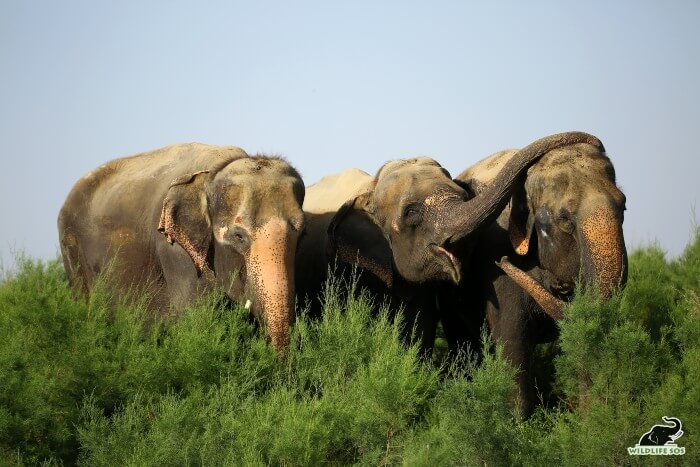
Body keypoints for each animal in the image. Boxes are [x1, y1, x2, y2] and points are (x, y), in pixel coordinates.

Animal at [57, 144, 304, 352]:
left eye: (301, 233)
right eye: (239, 236)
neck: (213, 174)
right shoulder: (174, 249)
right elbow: (200, 318)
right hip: (71, 251)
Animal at [440, 137, 628, 414]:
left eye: (624, 207)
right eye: (564, 219)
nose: (504, 261)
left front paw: (591, 416)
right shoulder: (495, 269)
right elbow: (512, 342)